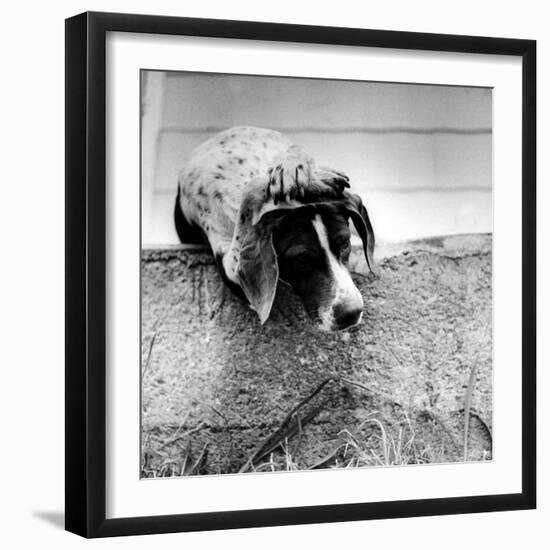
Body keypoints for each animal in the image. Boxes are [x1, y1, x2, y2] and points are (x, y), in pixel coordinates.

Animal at [175, 127, 378, 332]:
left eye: (345, 244)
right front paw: (315, 177)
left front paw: (296, 168)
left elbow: (293, 153)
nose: (351, 313)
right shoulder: (230, 270)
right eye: (301, 258)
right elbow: (251, 189)